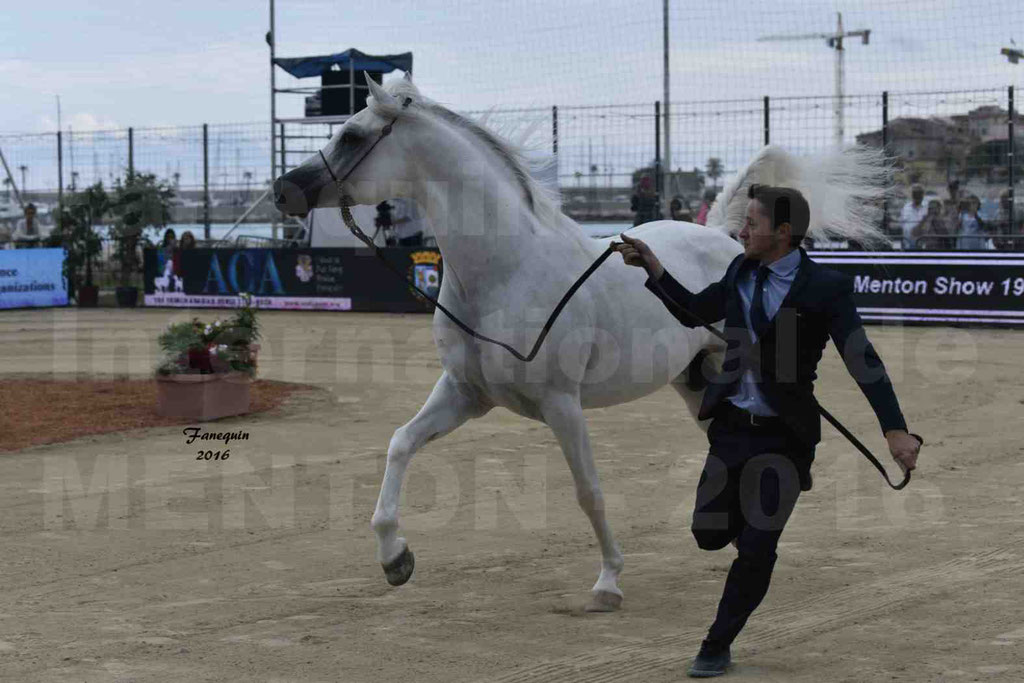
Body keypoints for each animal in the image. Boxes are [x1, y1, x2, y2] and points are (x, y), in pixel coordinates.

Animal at [276, 74, 892, 614]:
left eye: (352, 135)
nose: (284, 191)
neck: (504, 272)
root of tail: (724, 237)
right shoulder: (465, 394)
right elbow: (400, 444)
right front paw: (395, 559)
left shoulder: (561, 404)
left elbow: (587, 491)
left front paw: (608, 584)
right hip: (696, 385)